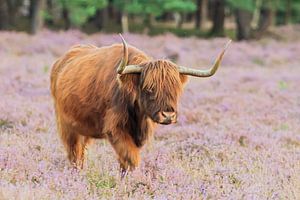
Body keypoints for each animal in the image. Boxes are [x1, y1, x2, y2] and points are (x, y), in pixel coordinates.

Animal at [51, 34, 230, 173]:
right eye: (149, 89)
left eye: (176, 90)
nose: (168, 115)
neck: (137, 112)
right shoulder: (115, 129)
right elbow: (131, 158)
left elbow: (125, 162)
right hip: (67, 126)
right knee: (74, 153)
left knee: (82, 152)